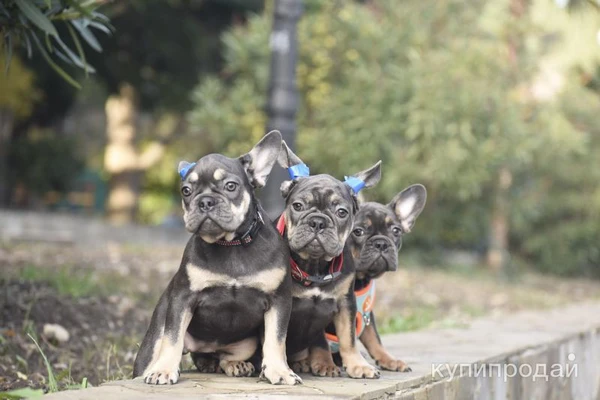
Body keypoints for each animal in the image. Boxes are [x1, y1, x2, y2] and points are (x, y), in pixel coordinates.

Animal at [131, 133, 300, 386]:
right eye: (186, 190)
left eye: (230, 186)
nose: (205, 201)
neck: (231, 244)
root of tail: (205, 348)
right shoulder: (183, 299)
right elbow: (172, 336)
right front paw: (164, 370)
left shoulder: (278, 301)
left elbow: (276, 339)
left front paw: (280, 371)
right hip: (154, 339)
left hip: (246, 343)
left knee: (224, 358)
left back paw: (237, 365)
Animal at [276, 142, 382, 380]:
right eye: (298, 206)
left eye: (341, 212)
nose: (317, 222)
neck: (315, 266)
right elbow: (277, 337)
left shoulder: (345, 303)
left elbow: (348, 337)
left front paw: (357, 365)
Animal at [328, 184, 426, 372]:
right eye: (358, 231)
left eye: (396, 230)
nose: (382, 243)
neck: (360, 279)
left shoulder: (367, 316)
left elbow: (374, 338)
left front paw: (389, 359)